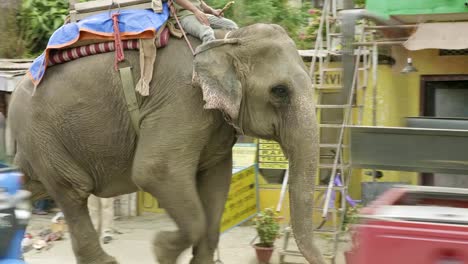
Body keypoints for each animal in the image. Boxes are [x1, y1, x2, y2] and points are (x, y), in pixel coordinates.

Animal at [8, 23, 326, 264]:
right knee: (73, 193)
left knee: (31, 186)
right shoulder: (183, 101)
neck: (227, 40)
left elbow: (217, 181)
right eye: (280, 91)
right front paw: (160, 249)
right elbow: (156, 172)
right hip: (43, 136)